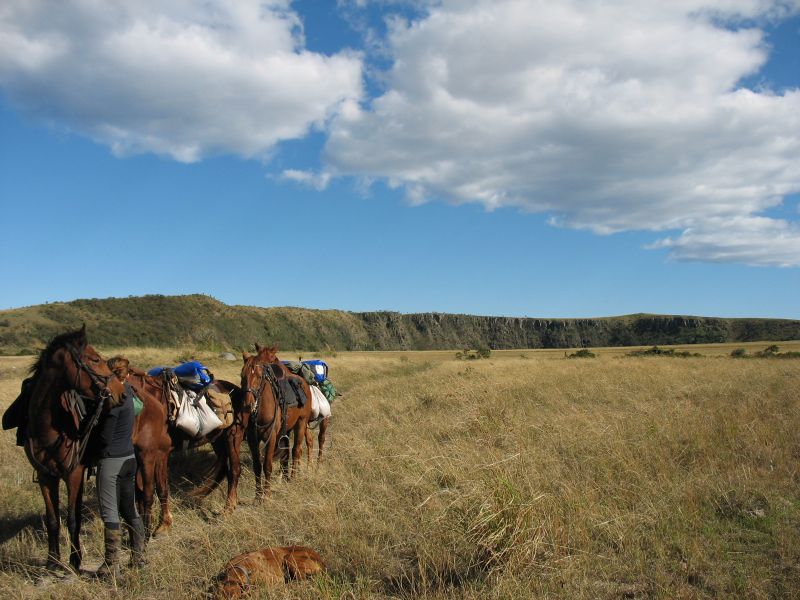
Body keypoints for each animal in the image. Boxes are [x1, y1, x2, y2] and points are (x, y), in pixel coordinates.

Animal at [0, 328, 122, 572]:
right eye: (95, 359)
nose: (119, 391)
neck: (47, 426)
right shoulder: (46, 476)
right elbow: (52, 519)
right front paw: (53, 560)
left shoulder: (74, 474)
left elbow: (73, 519)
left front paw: (75, 560)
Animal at [241, 344, 312, 500]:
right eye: (242, 376)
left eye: (259, 376)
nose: (248, 405)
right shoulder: (252, 438)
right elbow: (257, 466)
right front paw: (257, 496)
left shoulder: (271, 436)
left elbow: (267, 465)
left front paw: (266, 496)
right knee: (286, 454)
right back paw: (285, 478)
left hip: (301, 423)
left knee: (296, 450)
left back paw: (292, 479)